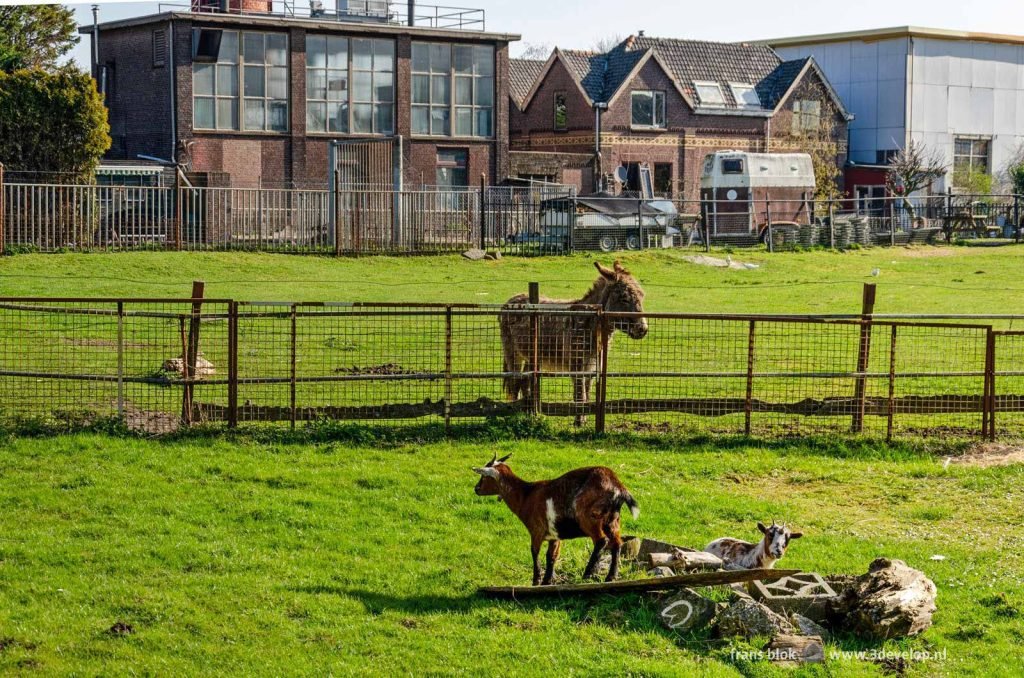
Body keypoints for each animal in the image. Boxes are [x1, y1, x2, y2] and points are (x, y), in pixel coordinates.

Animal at [473, 456, 638, 589]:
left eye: (484, 477)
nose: (476, 489)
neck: (526, 495)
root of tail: (617, 485)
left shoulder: (536, 530)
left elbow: (534, 552)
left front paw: (536, 580)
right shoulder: (555, 536)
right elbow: (551, 556)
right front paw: (547, 581)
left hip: (589, 517)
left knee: (602, 540)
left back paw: (588, 573)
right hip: (612, 520)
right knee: (617, 543)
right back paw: (610, 577)